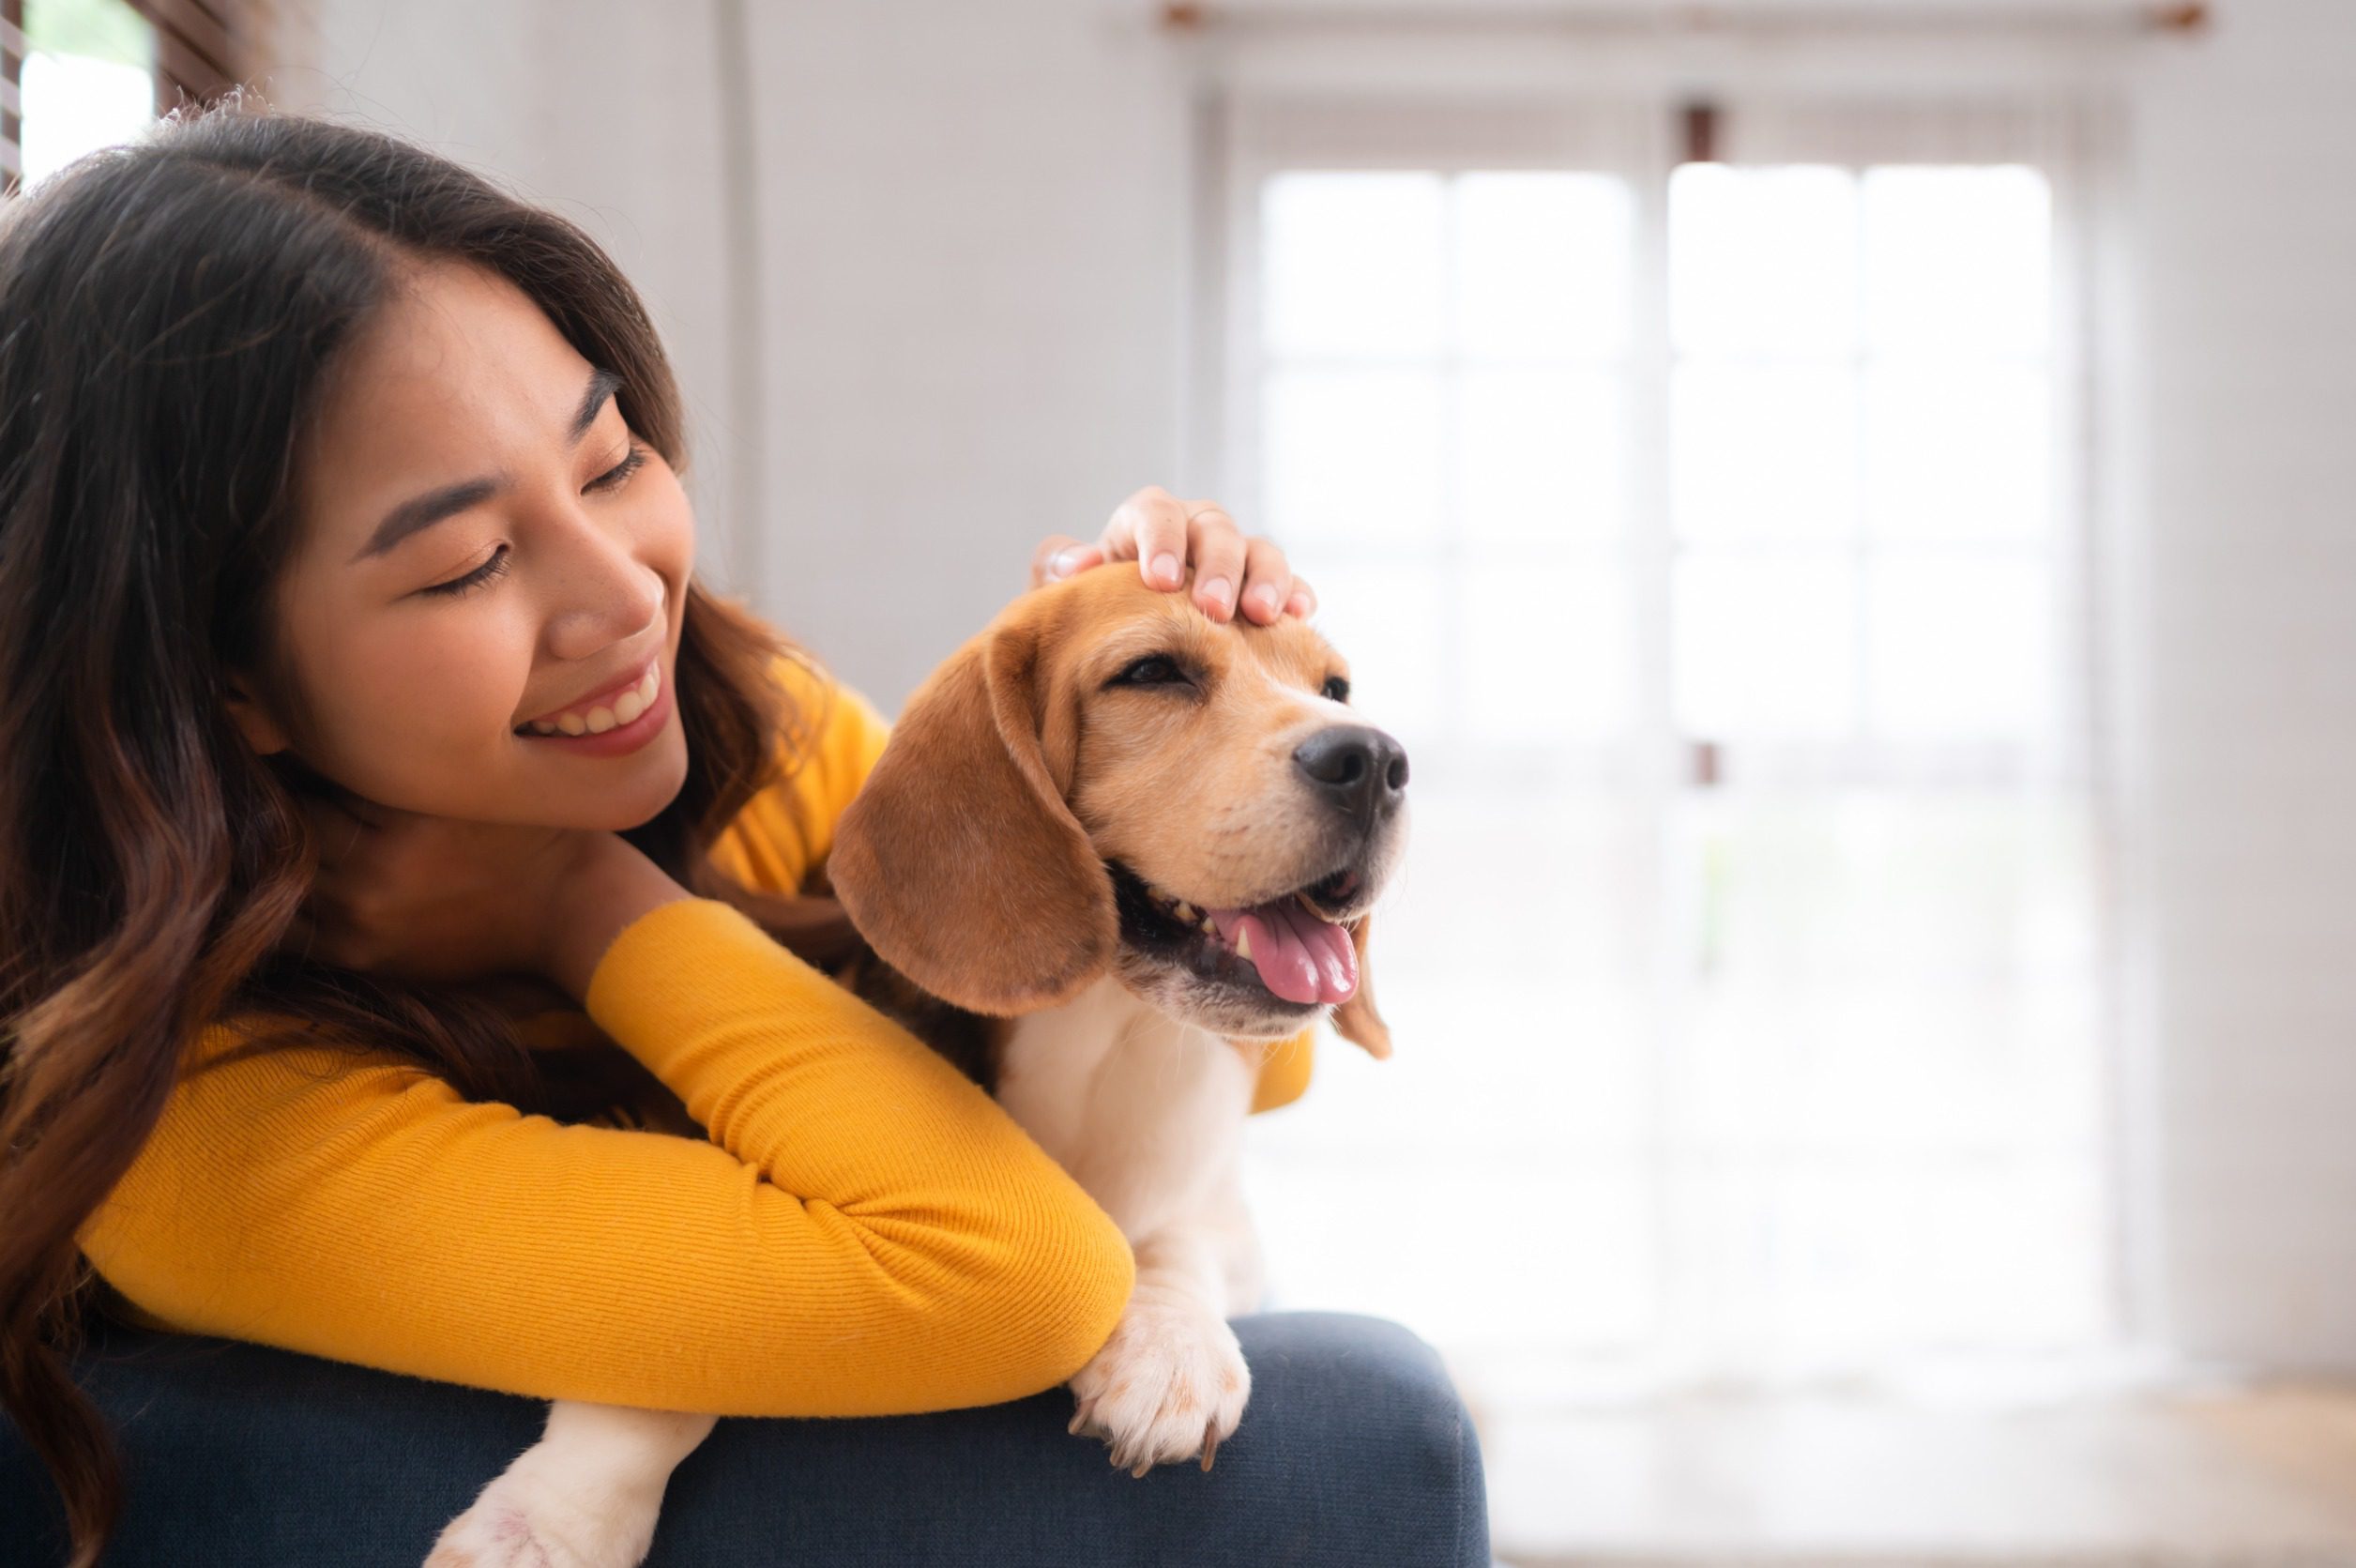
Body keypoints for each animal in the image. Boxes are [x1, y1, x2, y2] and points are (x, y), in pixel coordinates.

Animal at [426, 566, 1404, 1565]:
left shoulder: (1220, 1208)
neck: (1101, 1030)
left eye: (1336, 688)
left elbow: (1177, 1235)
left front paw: (1170, 1344)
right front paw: (549, 1522)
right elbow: (673, 1358)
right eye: (1153, 672)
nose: (1374, 761)